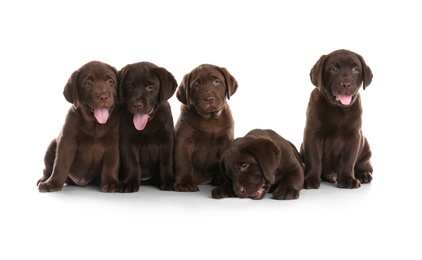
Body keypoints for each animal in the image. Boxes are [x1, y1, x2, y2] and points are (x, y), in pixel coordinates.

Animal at [117, 60, 178, 191]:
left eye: (150, 87)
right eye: (130, 86)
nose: (137, 105)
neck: (148, 125)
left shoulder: (167, 141)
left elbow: (166, 163)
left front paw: (168, 182)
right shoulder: (127, 142)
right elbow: (132, 163)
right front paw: (130, 182)